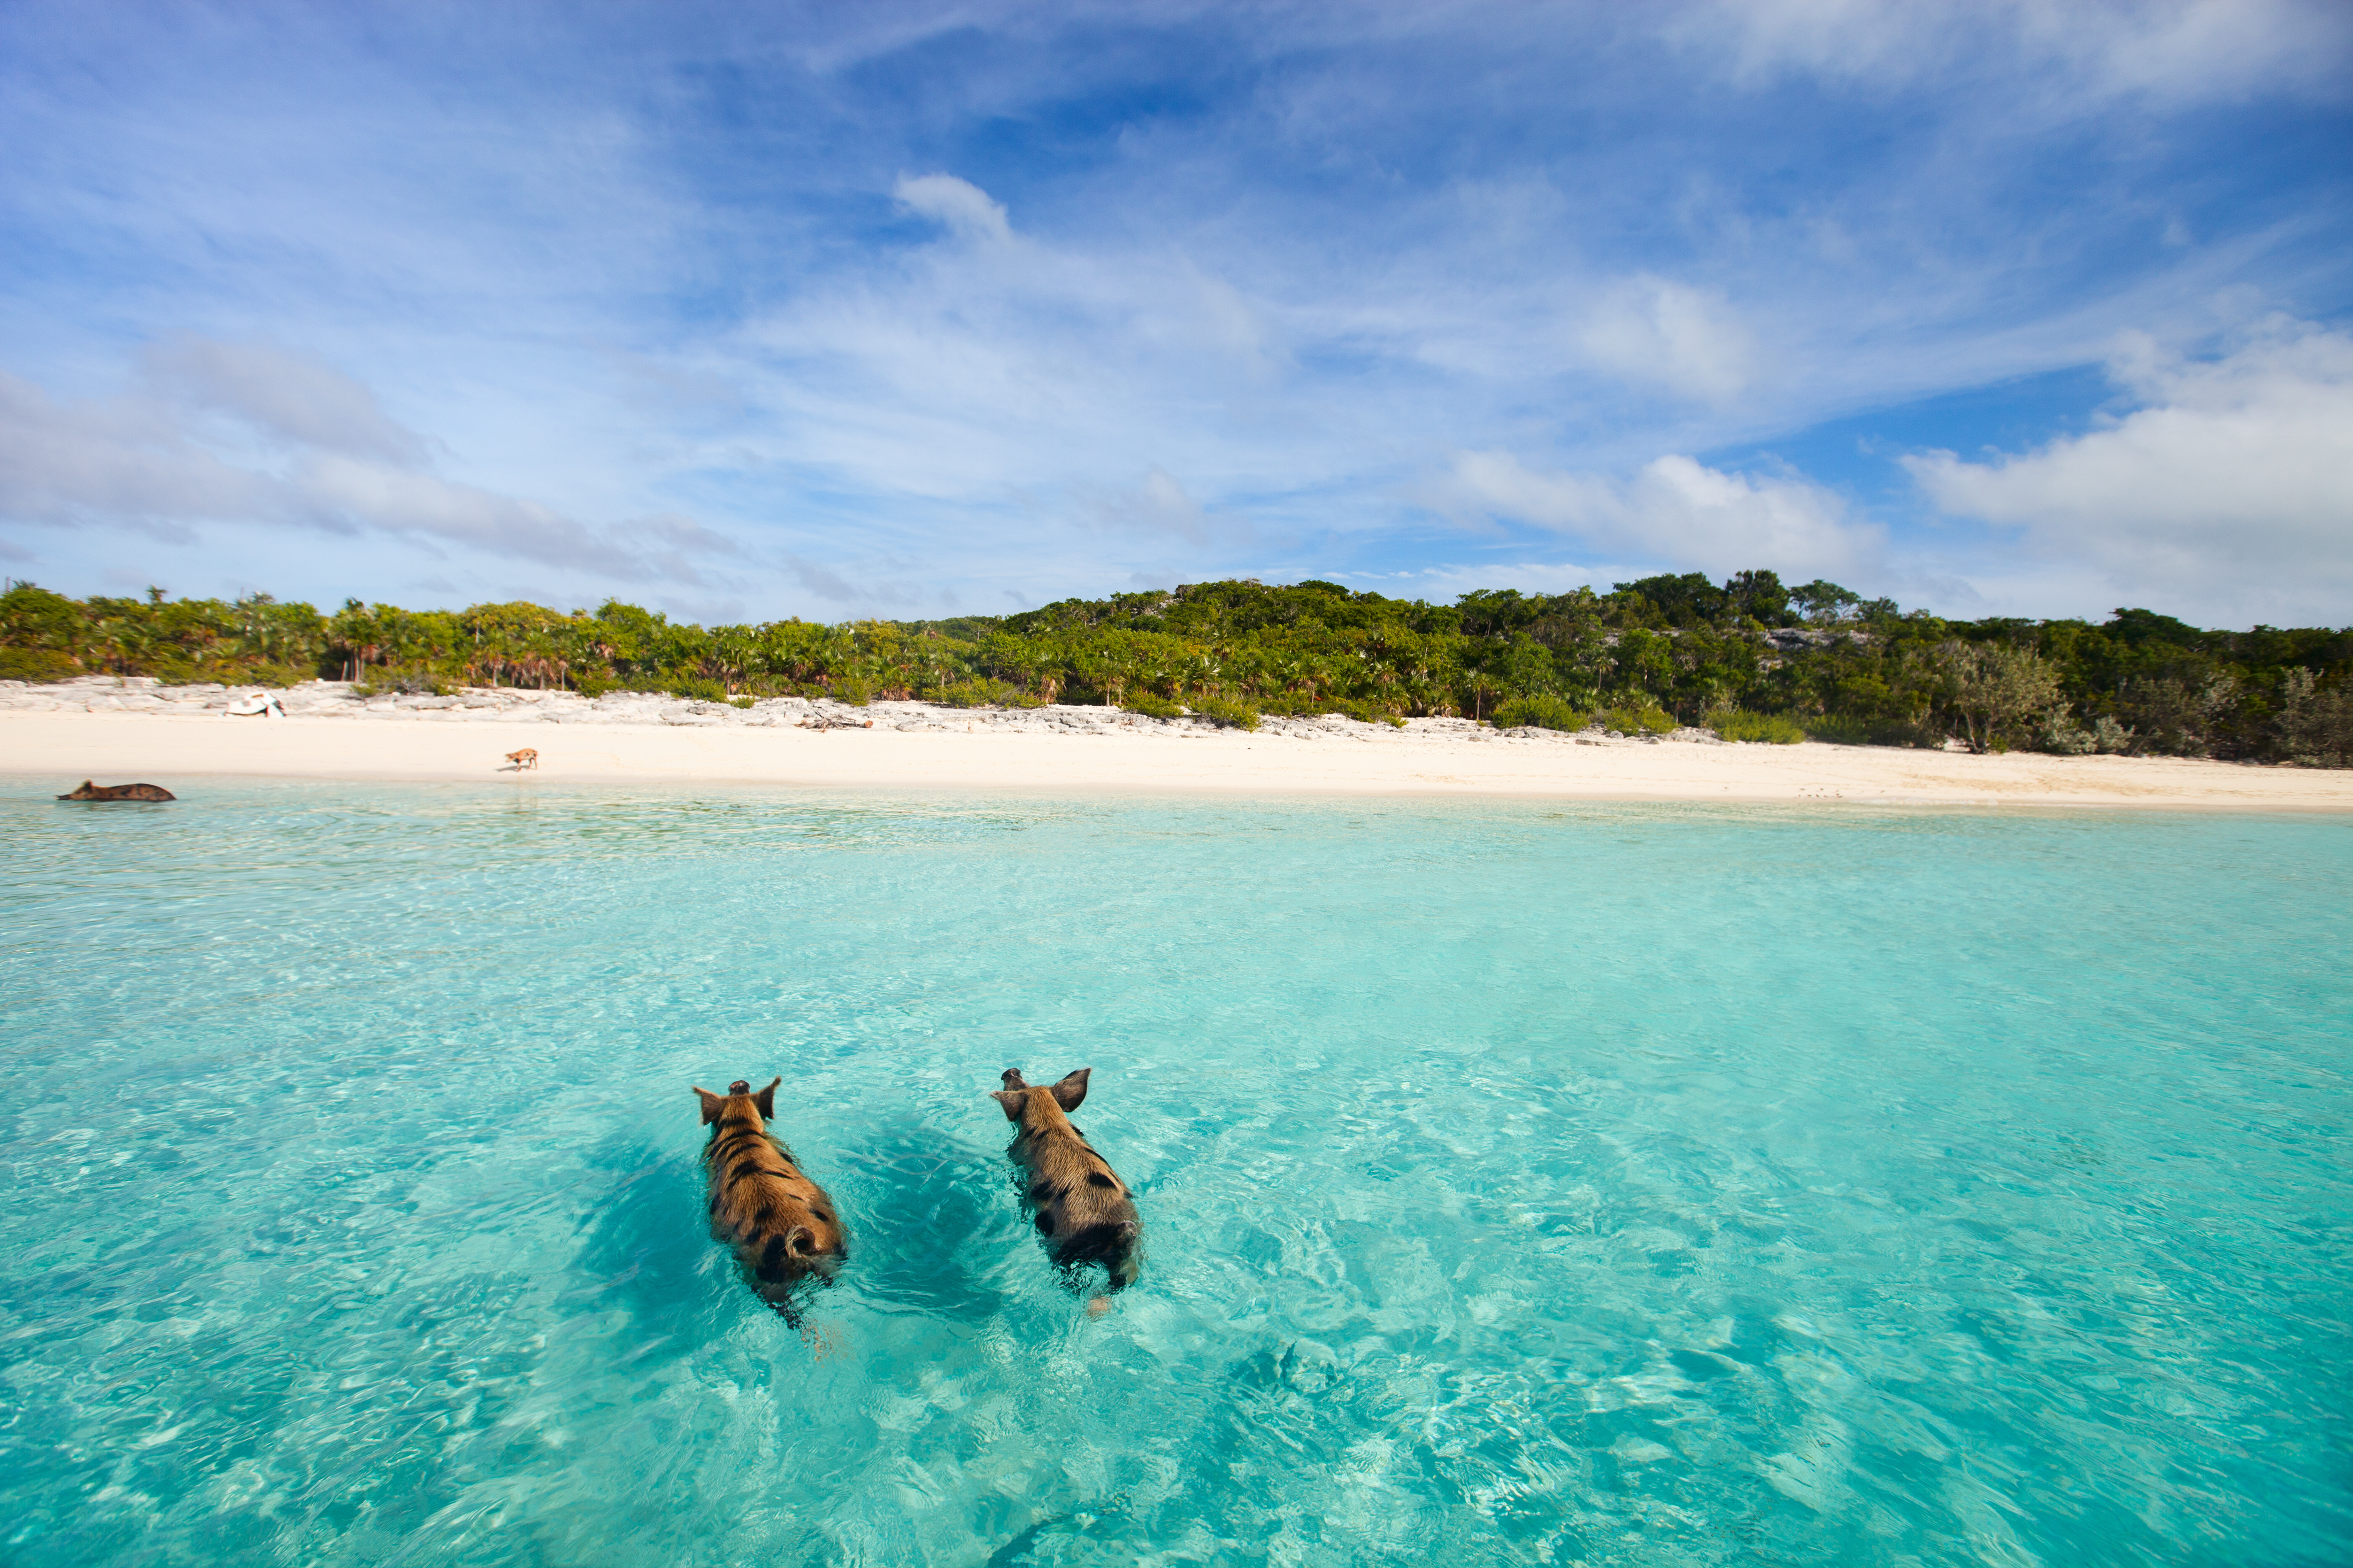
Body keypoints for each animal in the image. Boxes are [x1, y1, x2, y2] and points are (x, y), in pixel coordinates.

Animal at [988, 1067, 1143, 1297]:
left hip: (1061, 1242)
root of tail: (1113, 1230)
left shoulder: (1017, 1156)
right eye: (1026, 1083)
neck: (1050, 1122)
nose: (1012, 1071)